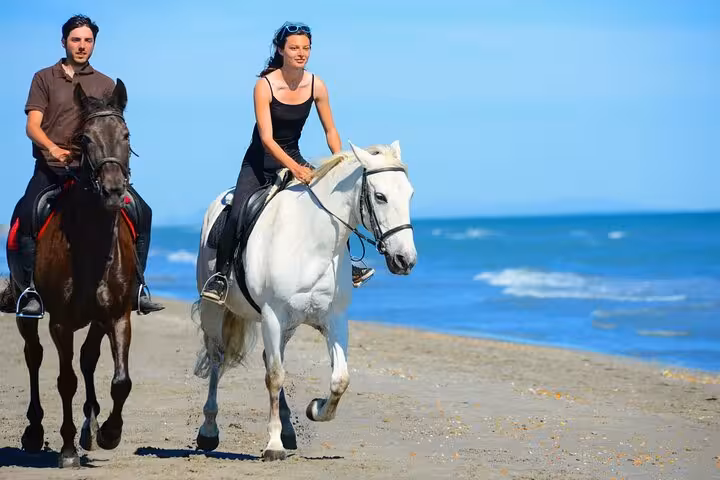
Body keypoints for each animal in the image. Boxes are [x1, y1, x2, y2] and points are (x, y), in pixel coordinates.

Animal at [9, 80, 138, 467]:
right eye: (85, 139)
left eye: (125, 135)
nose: (113, 191)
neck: (90, 244)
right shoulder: (61, 323)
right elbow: (65, 380)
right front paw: (67, 450)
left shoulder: (118, 315)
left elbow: (120, 380)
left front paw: (108, 432)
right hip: (27, 314)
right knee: (34, 356)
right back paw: (35, 432)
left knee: (88, 359)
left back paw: (90, 427)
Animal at [193, 141, 417, 461]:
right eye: (380, 196)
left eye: (410, 194)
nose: (405, 260)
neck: (313, 243)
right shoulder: (272, 316)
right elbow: (275, 377)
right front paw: (273, 446)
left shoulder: (334, 319)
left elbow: (340, 380)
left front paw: (315, 409)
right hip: (216, 311)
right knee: (217, 358)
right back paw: (209, 431)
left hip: (289, 326)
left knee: (268, 357)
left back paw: (288, 429)